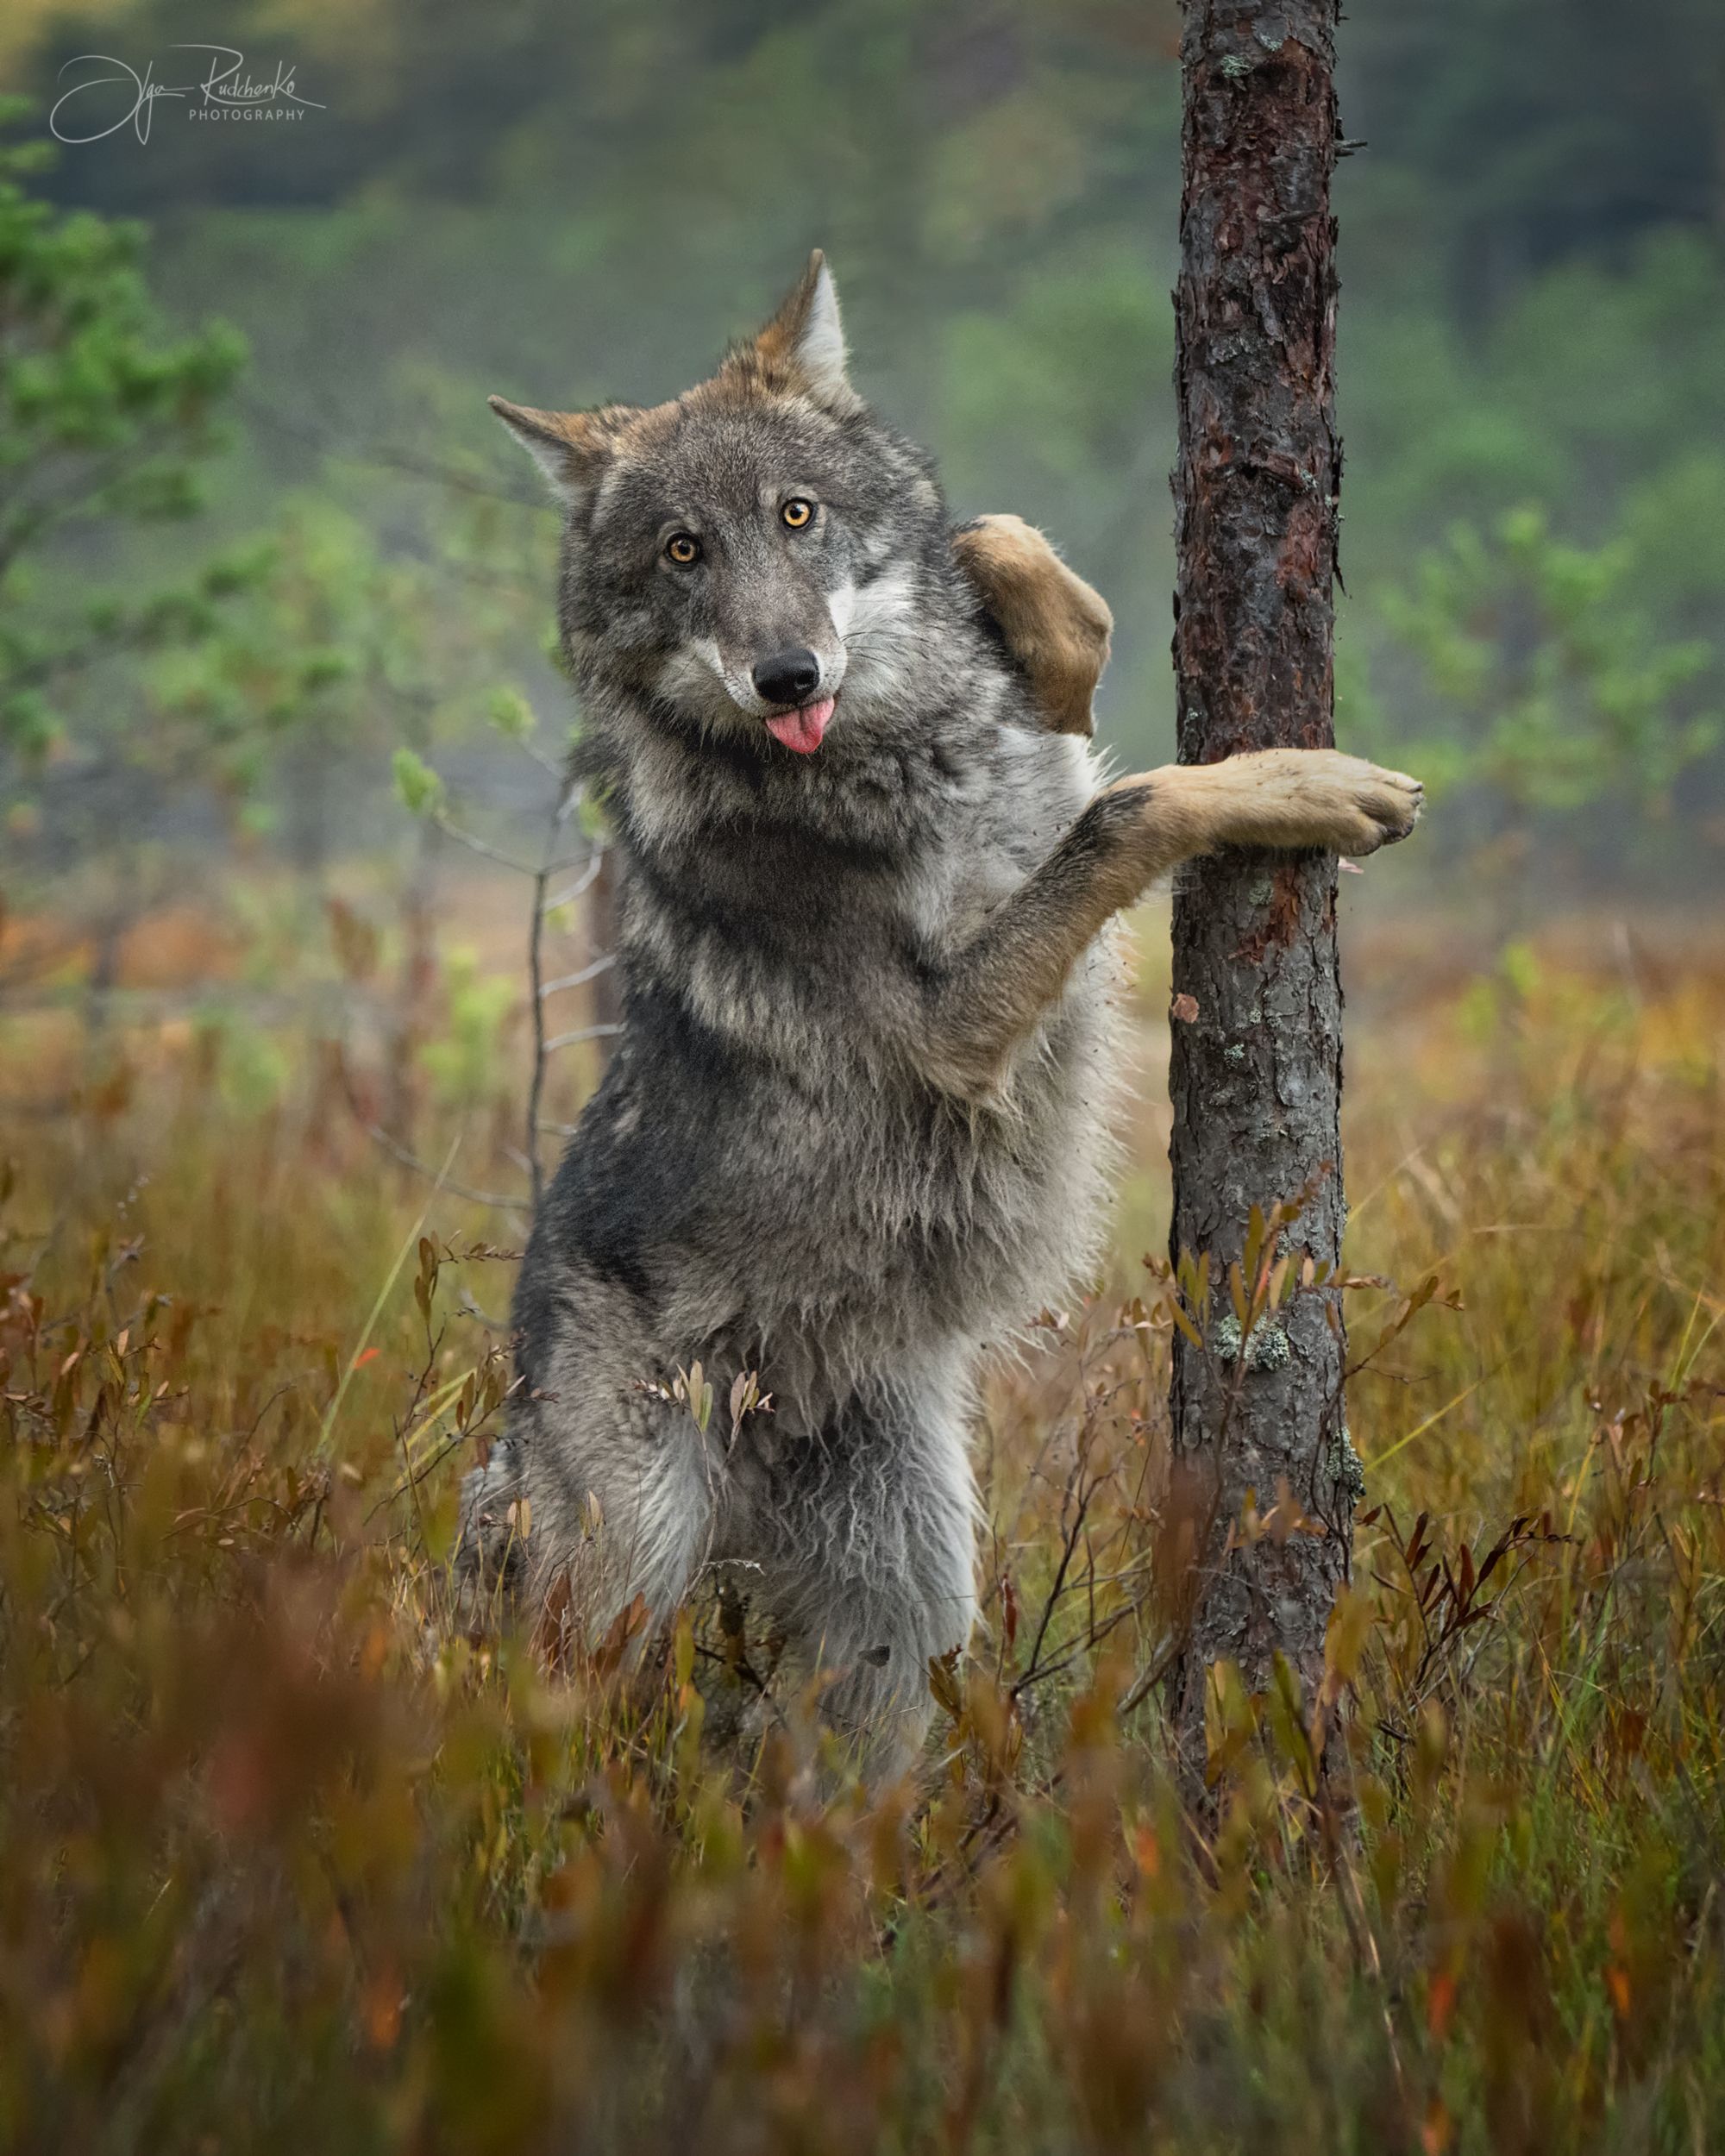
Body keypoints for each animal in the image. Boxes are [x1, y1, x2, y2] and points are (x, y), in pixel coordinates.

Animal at [466, 248, 1423, 1768]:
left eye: (796, 516)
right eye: (683, 553)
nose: (787, 676)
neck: (896, 754)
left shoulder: (1043, 753)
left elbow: (1032, 575)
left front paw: (1012, 588)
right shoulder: (956, 1025)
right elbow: (1137, 807)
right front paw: (1306, 783)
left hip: (904, 1606)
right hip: (617, 1598)